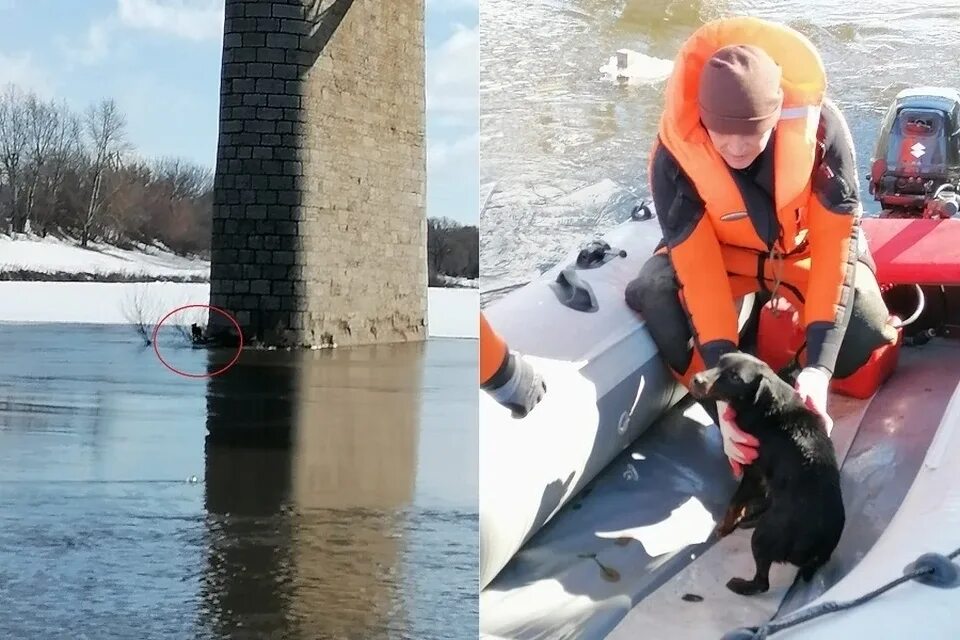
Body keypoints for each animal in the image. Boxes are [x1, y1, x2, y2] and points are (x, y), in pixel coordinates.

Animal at [692, 350, 844, 596]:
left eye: (735, 378)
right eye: (718, 361)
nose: (696, 379)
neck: (766, 405)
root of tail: (817, 549)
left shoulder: (752, 473)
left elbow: (734, 503)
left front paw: (723, 528)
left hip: (764, 537)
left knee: (762, 583)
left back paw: (740, 585)